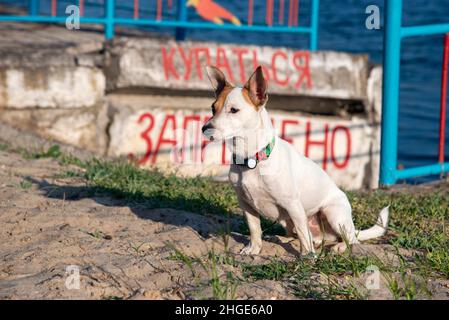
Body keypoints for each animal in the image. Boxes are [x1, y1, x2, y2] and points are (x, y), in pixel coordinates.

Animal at [201, 65, 386, 255]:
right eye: (213, 108)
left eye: (234, 110)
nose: (204, 128)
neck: (252, 160)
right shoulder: (246, 205)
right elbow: (255, 229)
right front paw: (254, 248)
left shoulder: (293, 205)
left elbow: (303, 233)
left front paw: (307, 256)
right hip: (288, 222)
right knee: (306, 236)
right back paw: (285, 239)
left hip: (333, 213)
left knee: (350, 240)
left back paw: (340, 247)